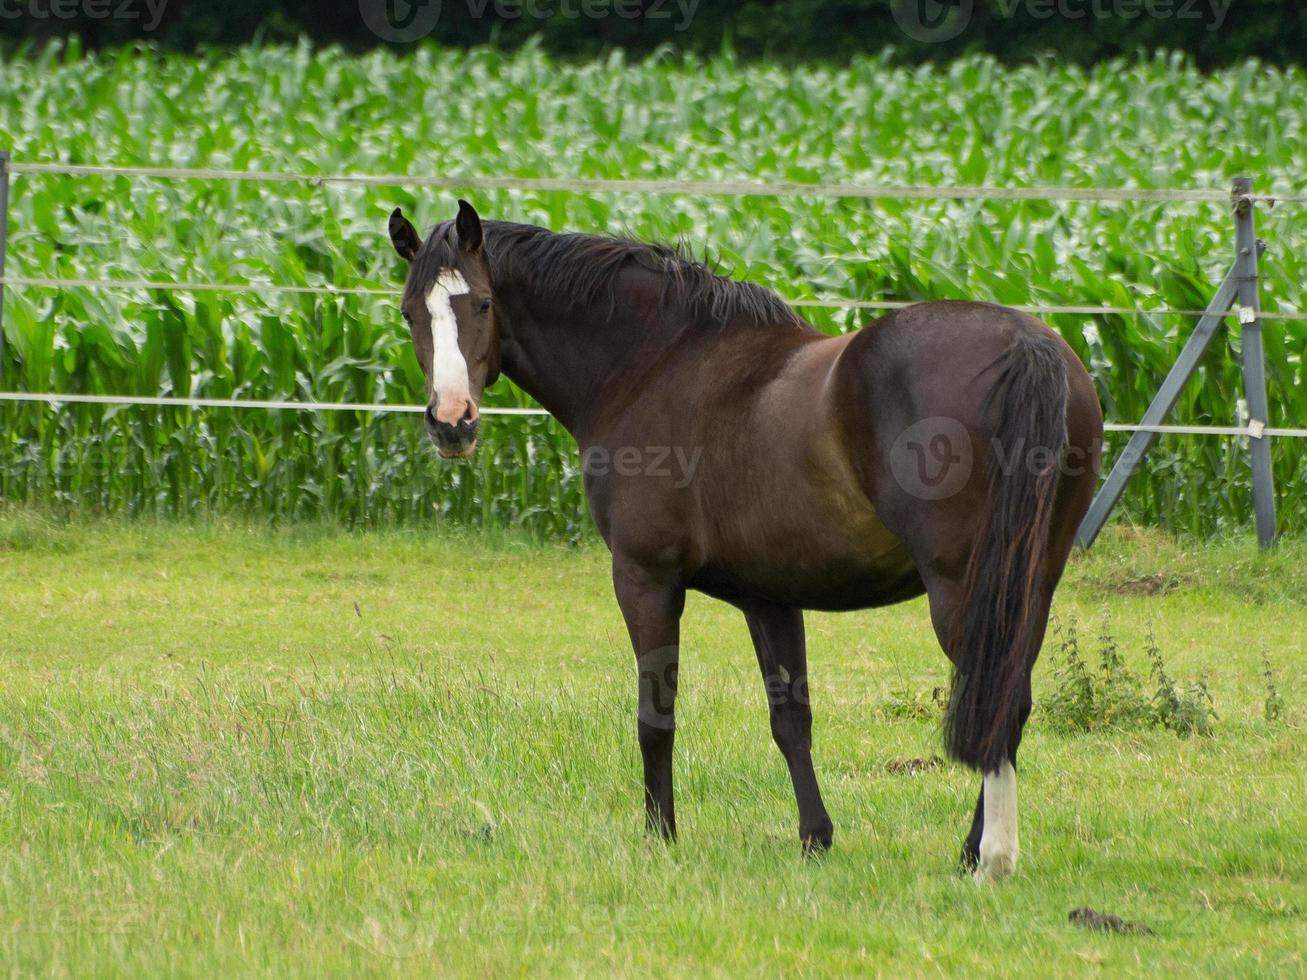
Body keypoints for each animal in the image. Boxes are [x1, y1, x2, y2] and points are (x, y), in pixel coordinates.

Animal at [384, 199, 1103, 883]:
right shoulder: (771, 597)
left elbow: (656, 715)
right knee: (1006, 699)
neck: (655, 364)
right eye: (409, 313)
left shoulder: (645, 578)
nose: (452, 423)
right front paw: (815, 839)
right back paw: (970, 851)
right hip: (1030, 583)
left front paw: (660, 837)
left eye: (480, 303)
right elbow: (790, 720)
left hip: (964, 587)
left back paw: (992, 858)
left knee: (993, 701)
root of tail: (1026, 343)